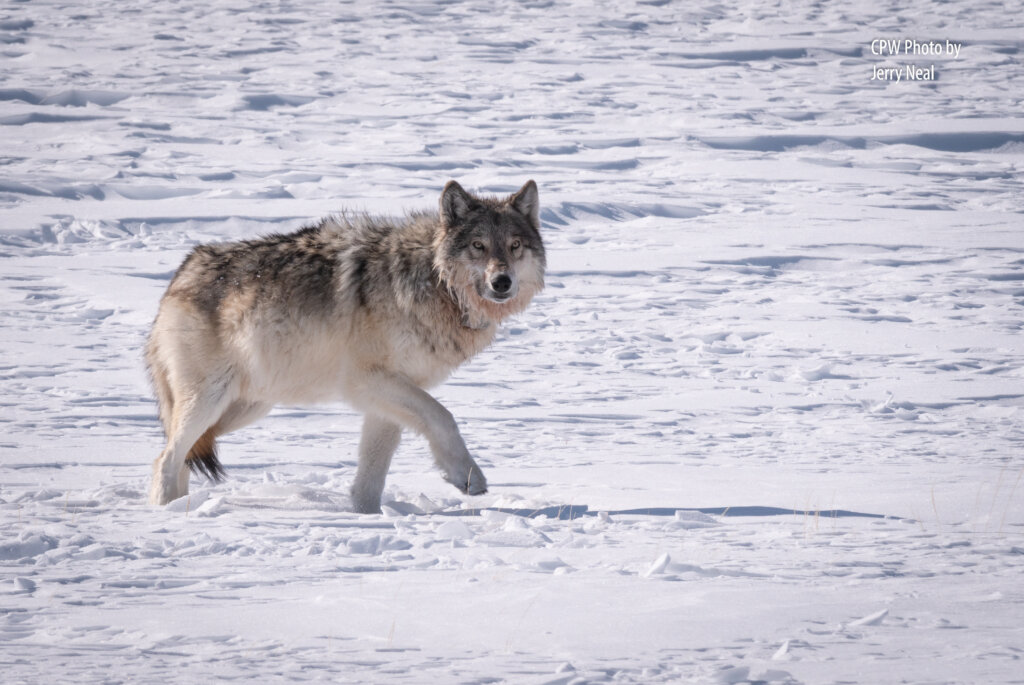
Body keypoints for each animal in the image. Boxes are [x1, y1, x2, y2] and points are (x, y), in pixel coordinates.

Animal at [146, 180, 545, 513]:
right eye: (478, 246)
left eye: (515, 246)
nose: (502, 281)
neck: (437, 284)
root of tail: (180, 274)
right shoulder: (367, 382)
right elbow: (442, 417)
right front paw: (466, 476)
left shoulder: (386, 400)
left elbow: (370, 477)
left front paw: (366, 517)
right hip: (211, 402)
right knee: (165, 458)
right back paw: (167, 515)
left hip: (246, 408)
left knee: (176, 457)